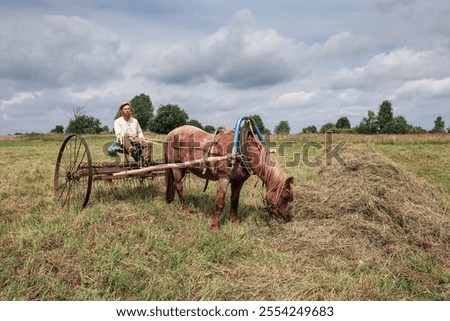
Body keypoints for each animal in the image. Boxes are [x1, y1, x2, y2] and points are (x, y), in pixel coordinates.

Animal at [165, 123, 296, 230]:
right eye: (285, 197)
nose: (286, 218)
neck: (240, 152)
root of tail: (171, 133)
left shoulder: (238, 181)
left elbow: (234, 200)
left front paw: (234, 221)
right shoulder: (224, 178)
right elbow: (220, 203)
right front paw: (214, 227)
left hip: (183, 168)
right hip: (176, 168)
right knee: (179, 187)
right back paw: (185, 210)